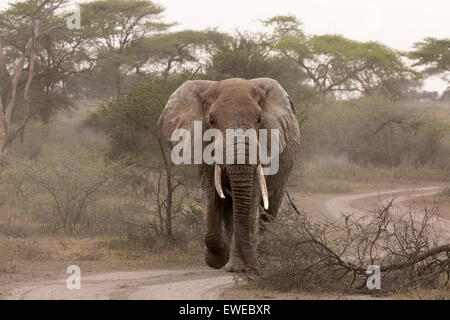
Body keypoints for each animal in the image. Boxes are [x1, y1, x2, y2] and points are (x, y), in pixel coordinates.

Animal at [156, 77, 300, 272]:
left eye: (260, 120)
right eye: (211, 121)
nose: (253, 266)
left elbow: (251, 197)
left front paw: (238, 268)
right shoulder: (202, 145)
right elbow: (211, 194)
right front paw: (218, 259)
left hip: (286, 168)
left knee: (268, 210)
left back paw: (262, 261)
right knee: (230, 209)